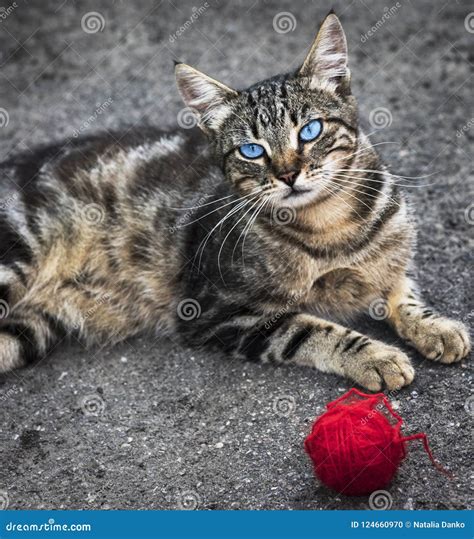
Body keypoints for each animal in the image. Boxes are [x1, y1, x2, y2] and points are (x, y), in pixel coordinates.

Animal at [0, 12, 468, 390]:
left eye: (310, 130)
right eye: (252, 150)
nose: (288, 174)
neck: (332, 227)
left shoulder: (390, 260)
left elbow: (403, 290)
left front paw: (436, 327)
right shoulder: (217, 310)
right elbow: (310, 328)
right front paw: (375, 356)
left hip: (29, 329)